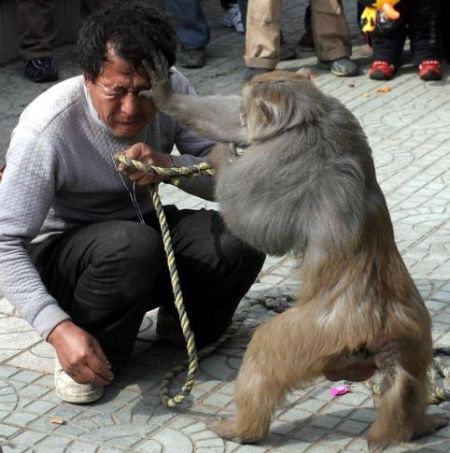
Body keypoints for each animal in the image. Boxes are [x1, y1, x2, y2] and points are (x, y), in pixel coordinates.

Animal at [142, 54, 450, 450]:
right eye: (244, 107)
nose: (245, 114)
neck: (308, 114)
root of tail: (383, 323)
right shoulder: (337, 112)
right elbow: (228, 127)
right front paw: (165, 96)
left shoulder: (276, 158)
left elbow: (250, 221)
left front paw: (218, 155)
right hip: (416, 336)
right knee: (411, 378)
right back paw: (417, 423)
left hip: (316, 332)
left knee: (265, 350)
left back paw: (242, 430)